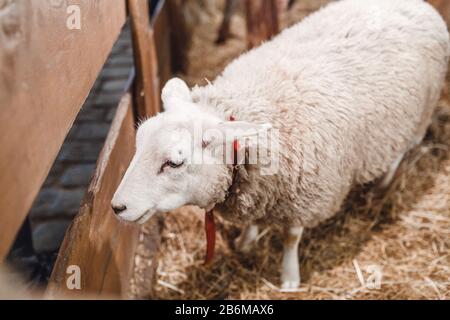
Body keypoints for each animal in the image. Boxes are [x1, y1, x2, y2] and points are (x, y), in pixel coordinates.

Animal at [110, 0, 448, 290]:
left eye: (174, 162)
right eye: (139, 143)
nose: (117, 207)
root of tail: (420, 5)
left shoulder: (306, 196)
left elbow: (290, 238)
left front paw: (289, 277)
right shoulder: (259, 190)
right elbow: (253, 222)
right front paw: (245, 242)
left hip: (416, 117)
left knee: (401, 151)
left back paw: (383, 184)